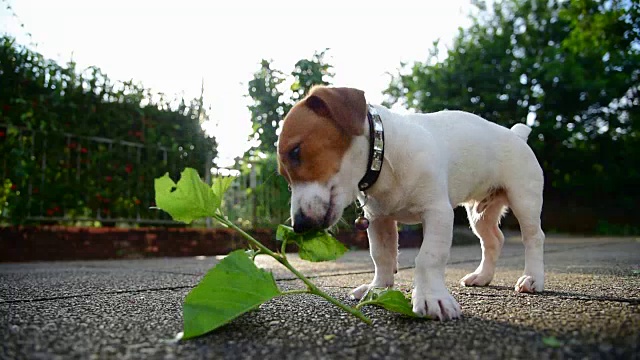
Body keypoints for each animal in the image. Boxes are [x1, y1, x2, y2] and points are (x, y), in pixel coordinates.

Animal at [276, 86, 544, 320]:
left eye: (296, 151)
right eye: (283, 177)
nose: (299, 225)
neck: (382, 157)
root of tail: (516, 134)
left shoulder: (437, 212)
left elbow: (428, 257)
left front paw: (432, 298)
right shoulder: (378, 220)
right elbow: (381, 256)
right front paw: (377, 289)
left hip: (524, 199)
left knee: (533, 238)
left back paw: (532, 278)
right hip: (479, 214)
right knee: (493, 241)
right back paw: (482, 276)